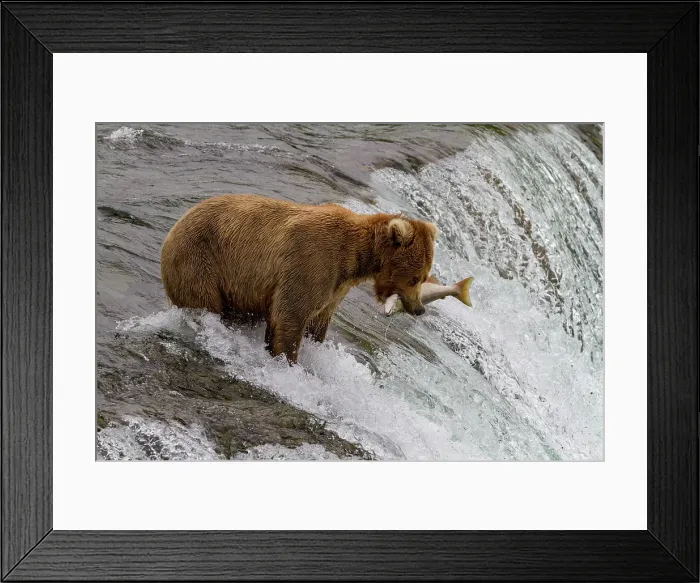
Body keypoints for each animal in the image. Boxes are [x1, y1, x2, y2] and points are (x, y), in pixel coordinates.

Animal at [160, 194, 437, 364]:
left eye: (424, 276)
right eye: (415, 279)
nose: (419, 309)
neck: (356, 258)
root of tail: (173, 229)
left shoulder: (335, 288)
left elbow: (318, 322)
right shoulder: (312, 261)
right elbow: (291, 315)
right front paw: (287, 361)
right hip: (201, 262)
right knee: (204, 302)